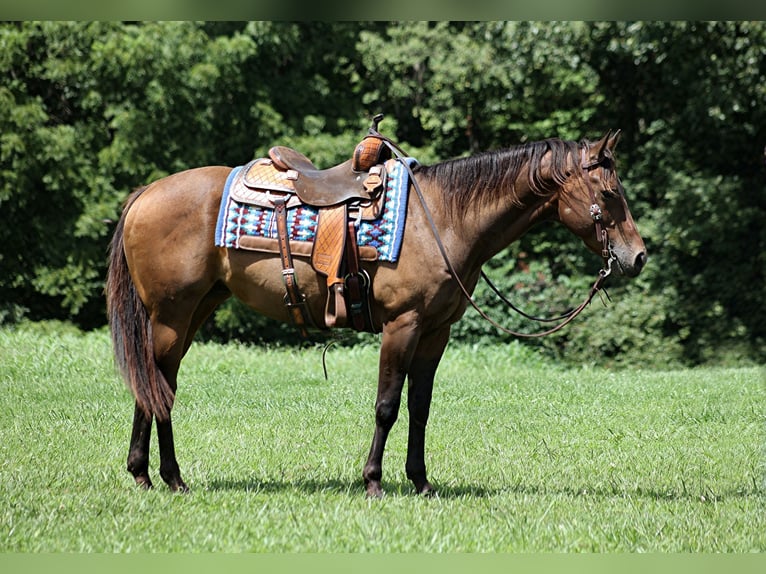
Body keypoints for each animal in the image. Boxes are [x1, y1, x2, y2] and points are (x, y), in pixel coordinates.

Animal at [106, 127, 648, 500]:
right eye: (609, 194)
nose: (638, 256)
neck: (444, 218)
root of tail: (144, 194)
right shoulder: (401, 326)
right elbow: (387, 405)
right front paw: (373, 482)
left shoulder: (435, 333)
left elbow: (420, 408)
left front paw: (422, 483)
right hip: (172, 315)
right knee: (158, 385)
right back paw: (161, 476)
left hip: (194, 310)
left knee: (158, 384)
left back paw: (153, 475)